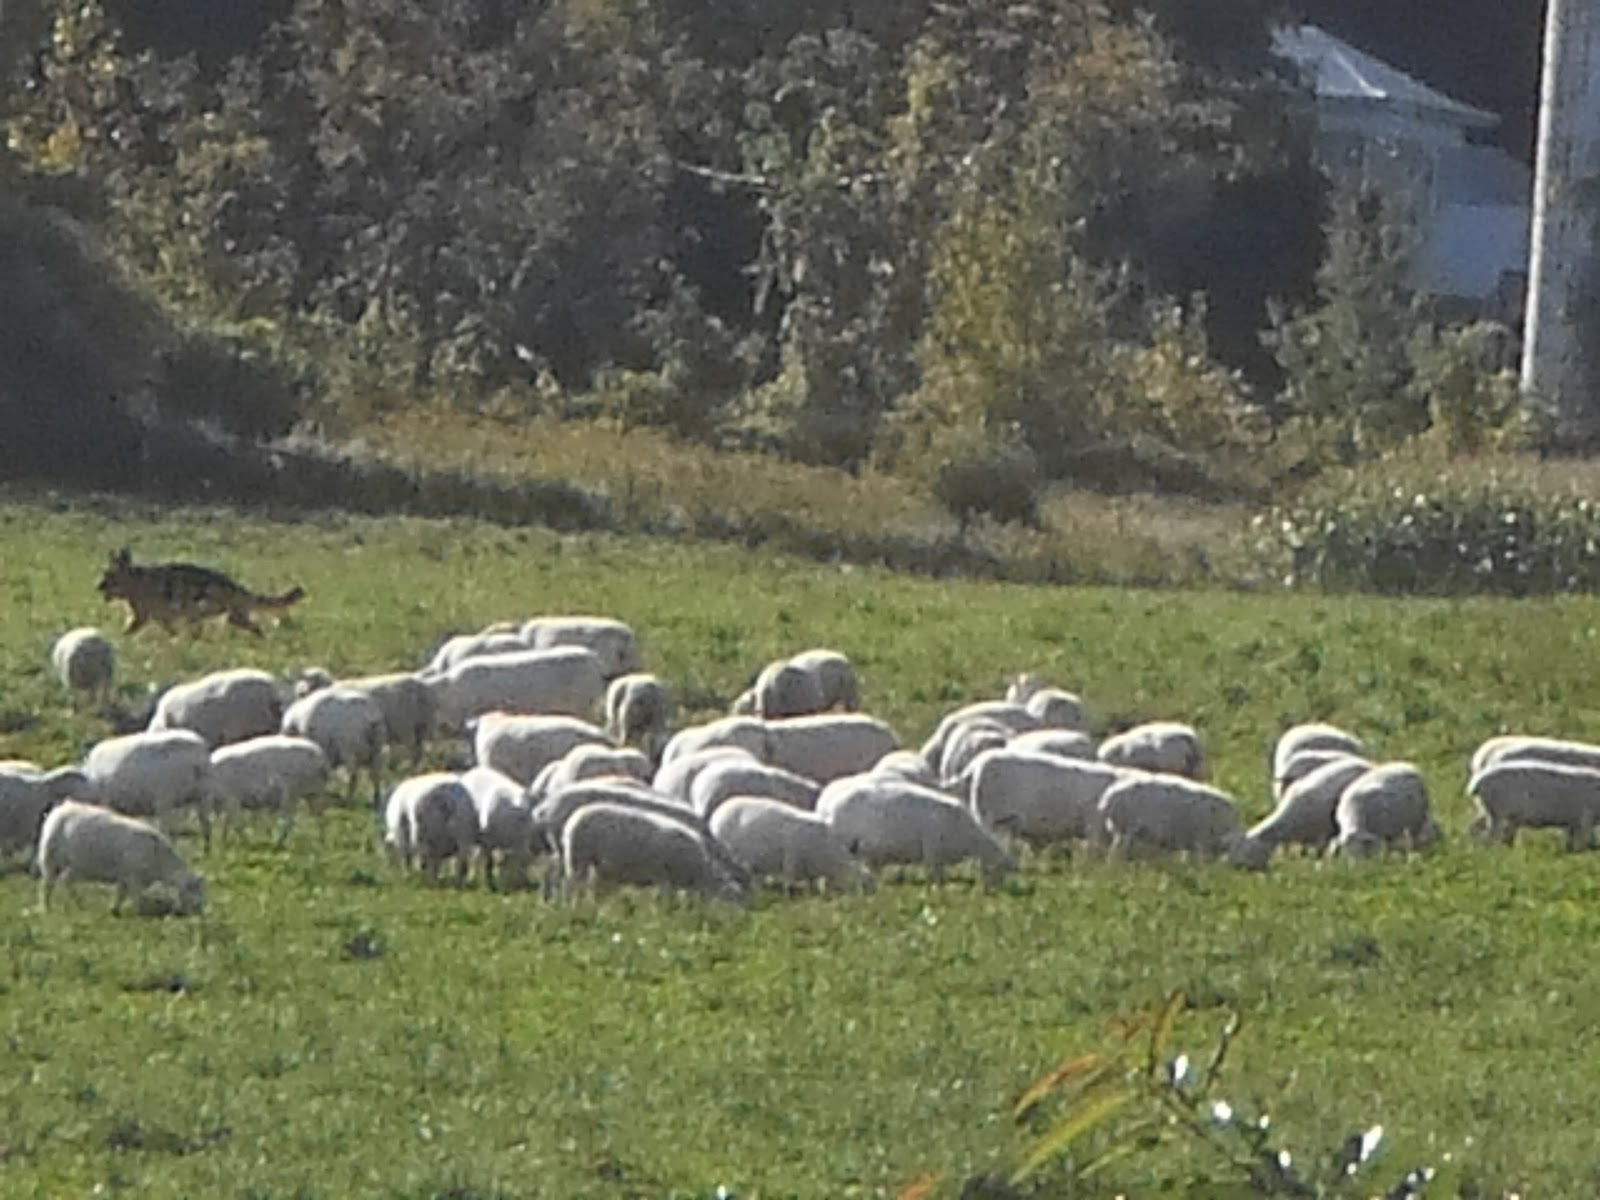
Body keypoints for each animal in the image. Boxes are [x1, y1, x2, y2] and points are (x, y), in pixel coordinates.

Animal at [37, 800, 204, 915]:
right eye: (194, 891)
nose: (200, 912)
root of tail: (62, 808)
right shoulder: (134, 878)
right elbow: (136, 897)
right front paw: (141, 912)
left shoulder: (125, 877)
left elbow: (121, 894)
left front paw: (114, 910)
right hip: (50, 858)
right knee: (48, 885)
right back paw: (47, 908)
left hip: (76, 865)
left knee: (67, 881)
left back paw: (80, 905)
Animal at [562, 800, 750, 904]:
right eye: (734, 900)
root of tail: (576, 815)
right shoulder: (663, 878)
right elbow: (664, 903)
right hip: (578, 857)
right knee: (573, 887)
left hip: (599, 868)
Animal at [710, 798, 871, 892]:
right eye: (866, 885)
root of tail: (719, 810)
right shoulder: (791, 861)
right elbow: (788, 882)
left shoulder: (810, 869)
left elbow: (811, 883)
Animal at [1097, 775, 1267, 869]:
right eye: (1252, 852)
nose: (1264, 871)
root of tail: (1108, 798)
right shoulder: (1201, 844)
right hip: (1126, 831)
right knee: (1115, 856)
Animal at [1467, 760, 1600, 850]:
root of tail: (1479, 783)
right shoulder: (1585, 817)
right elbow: (1585, 840)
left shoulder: (1574, 822)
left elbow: (1573, 840)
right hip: (1499, 814)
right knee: (1491, 835)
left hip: (1494, 813)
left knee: (1478, 829)